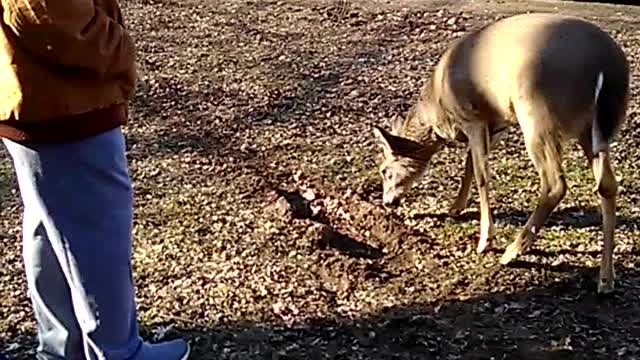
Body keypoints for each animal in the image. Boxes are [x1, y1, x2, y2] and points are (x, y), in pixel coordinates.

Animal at [376, 12, 632, 294]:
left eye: (384, 170)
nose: (387, 202)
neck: (439, 112)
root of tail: (608, 65)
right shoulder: (497, 125)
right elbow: (469, 165)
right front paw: (456, 207)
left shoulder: (473, 117)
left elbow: (481, 175)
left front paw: (484, 240)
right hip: (593, 130)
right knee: (607, 184)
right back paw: (606, 279)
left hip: (539, 114)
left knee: (555, 184)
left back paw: (512, 252)